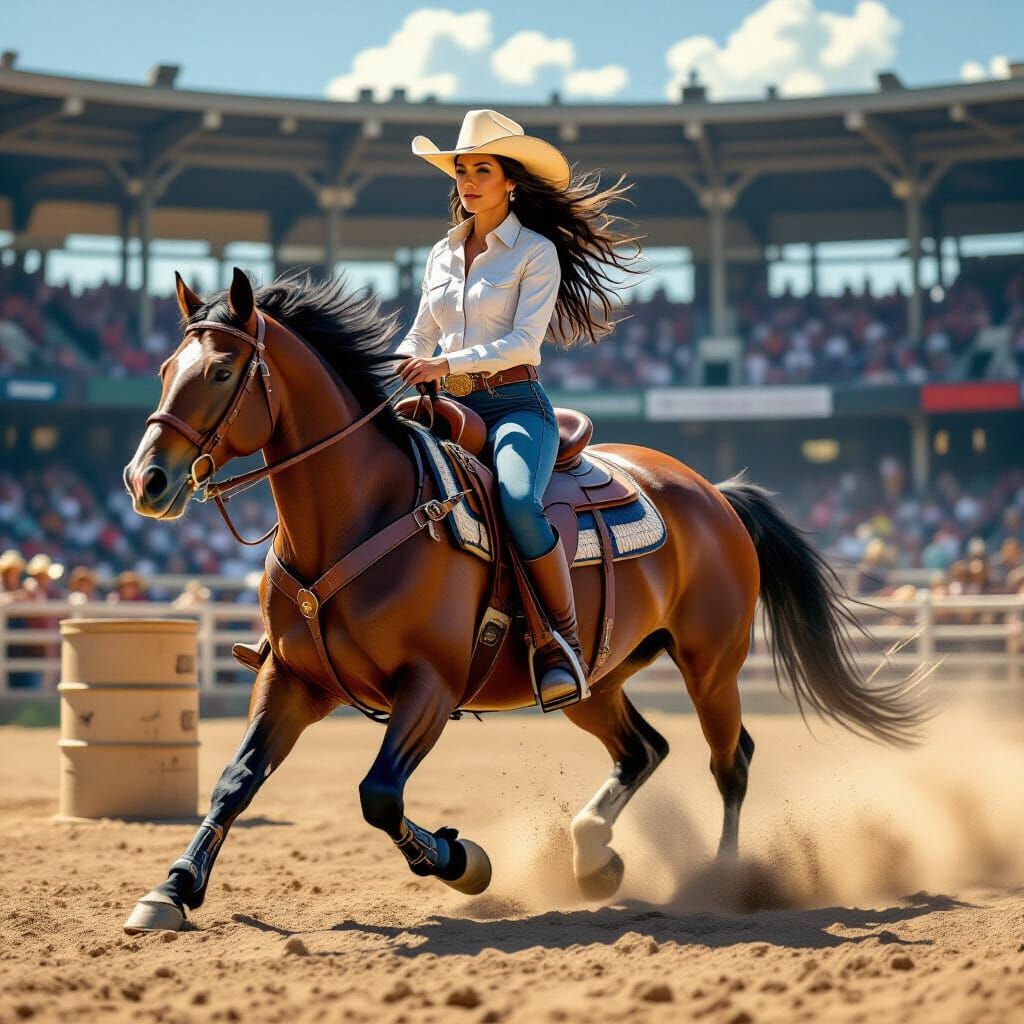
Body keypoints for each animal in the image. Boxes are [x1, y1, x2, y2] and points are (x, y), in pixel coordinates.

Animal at [121, 267, 925, 933]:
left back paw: (723, 881)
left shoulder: (431, 686)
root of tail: (714, 493)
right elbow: (235, 781)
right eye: (162, 370)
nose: (146, 479)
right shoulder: (291, 678)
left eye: (221, 369)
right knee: (643, 748)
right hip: (593, 681)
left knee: (730, 761)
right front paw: (173, 890)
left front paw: (462, 861)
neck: (367, 511)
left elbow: (379, 794)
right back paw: (594, 857)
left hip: (712, 665)